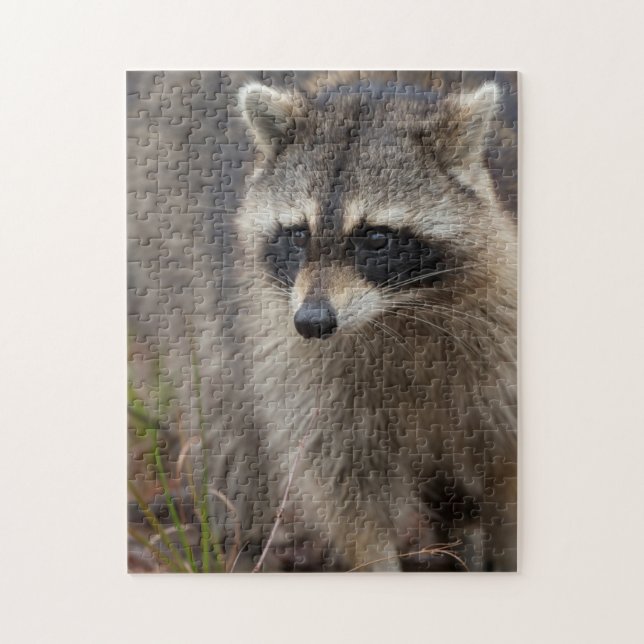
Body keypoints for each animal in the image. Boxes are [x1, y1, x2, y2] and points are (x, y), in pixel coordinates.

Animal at [213, 81, 517, 572]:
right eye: (298, 234)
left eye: (375, 237)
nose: (313, 322)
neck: (395, 313)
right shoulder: (305, 374)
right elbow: (348, 495)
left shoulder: (500, 350)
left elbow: (507, 485)